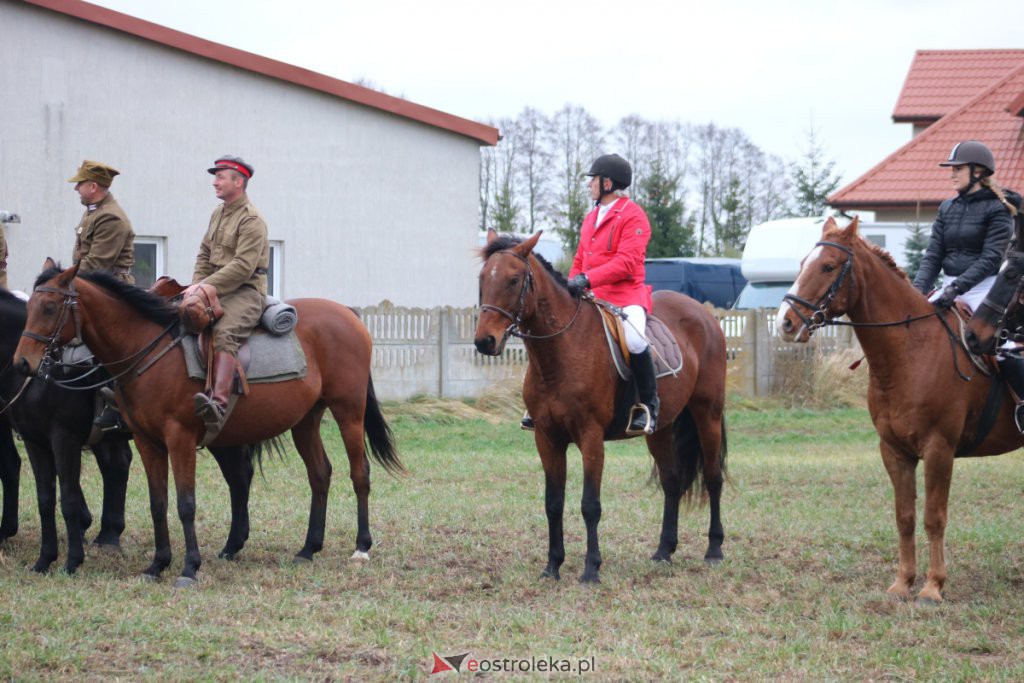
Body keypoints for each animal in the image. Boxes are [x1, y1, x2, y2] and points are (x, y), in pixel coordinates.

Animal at [0, 286, 134, 573]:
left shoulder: (64, 439)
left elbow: (67, 496)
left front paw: (72, 559)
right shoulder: (34, 440)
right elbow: (45, 497)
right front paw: (45, 559)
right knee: (116, 464)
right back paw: (108, 536)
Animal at [14, 266, 403, 589]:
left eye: (50, 308)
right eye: (29, 307)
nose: (22, 363)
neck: (147, 348)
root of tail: (349, 315)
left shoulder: (179, 438)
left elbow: (185, 503)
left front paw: (189, 568)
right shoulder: (147, 442)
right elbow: (158, 503)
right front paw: (157, 564)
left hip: (348, 411)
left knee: (360, 473)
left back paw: (361, 547)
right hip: (305, 420)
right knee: (319, 474)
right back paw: (308, 548)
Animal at [473, 232, 729, 585]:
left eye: (513, 280)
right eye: (483, 279)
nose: (485, 341)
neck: (560, 353)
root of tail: (703, 313)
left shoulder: (591, 437)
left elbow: (590, 504)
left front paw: (591, 568)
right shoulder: (547, 438)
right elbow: (553, 503)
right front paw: (552, 566)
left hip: (708, 413)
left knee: (714, 476)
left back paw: (714, 550)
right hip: (660, 429)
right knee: (672, 480)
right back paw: (664, 551)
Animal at [774, 218, 1024, 602]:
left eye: (828, 266)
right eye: (803, 263)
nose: (785, 323)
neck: (910, 351)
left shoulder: (939, 449)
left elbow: (934, 517)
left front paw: (933, 587)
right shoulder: (894, 451)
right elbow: (904, 516)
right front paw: (903, 583)